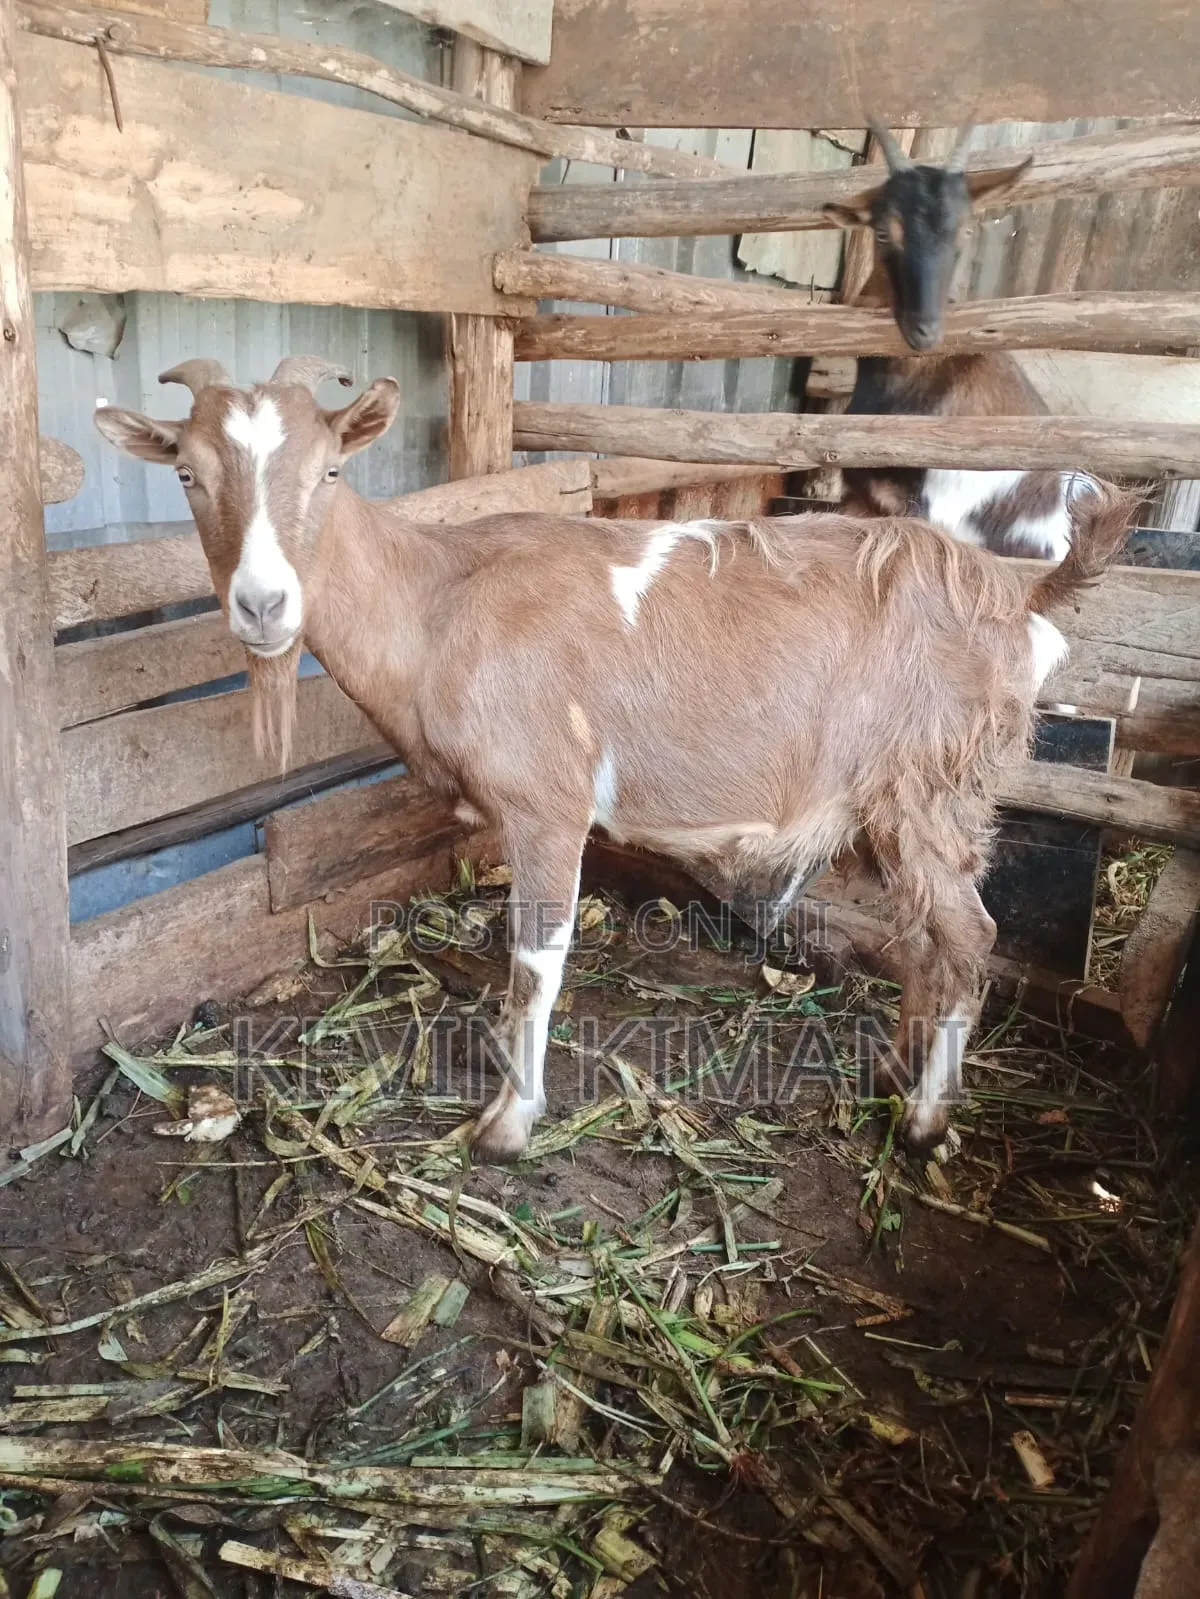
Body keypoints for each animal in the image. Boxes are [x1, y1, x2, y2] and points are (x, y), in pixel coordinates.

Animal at [95, 357, 1134, 1161]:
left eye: (331, 470)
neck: (440, 600)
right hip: (906, 801)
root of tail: (1019, 592)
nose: (263, 604)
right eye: (185, 474)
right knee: (930, 936)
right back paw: (895, 1069)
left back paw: (924, 1118)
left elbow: (535, 959)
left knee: (971, 937)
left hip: (931, 785)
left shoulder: (547, 800)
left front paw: (508, 1123)